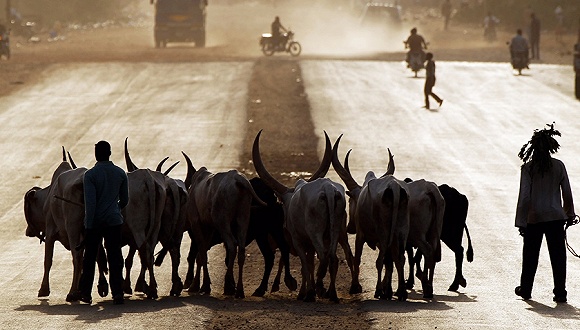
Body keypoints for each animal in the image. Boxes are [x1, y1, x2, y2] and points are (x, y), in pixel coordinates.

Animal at [23, 148, 109, 300]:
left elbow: (48, 261)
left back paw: (72, 292)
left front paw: (44, 289)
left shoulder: (50, 233)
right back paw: (95, 289)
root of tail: (83, 183)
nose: (28, 231)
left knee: (77, 257)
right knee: (96, 254)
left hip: (72, 227)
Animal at [182, 152, 266, 300]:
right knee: (241, 249)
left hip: (222, 220)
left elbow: (201, 254)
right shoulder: (209, 227)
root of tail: (239, 180)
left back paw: (229, 286)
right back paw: (239, 290)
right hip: (243, 217)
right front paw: (202, 285)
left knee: (232, 245)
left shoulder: (196, 222)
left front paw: (199, 286)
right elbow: (201, 255)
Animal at [250, 130, 354, 302]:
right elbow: (309, 264)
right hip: (335, 231)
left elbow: (305, 265)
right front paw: (306, 291)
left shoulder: (298, 240)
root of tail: (328, 189)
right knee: (333, 258)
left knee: (324, 256)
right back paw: (332, 294)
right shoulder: (308, 244)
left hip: (315, 232)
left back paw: (319, 287)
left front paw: (306, 293)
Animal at [334, 135, 410, 300]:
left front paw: (355, 286)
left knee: (381, 260)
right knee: (399, 258)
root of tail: (394, 188)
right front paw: (388, 289)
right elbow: (391, 262)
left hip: (383, 232)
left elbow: (357, 258)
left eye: (350, 200)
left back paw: (379, 290)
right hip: (401, 231)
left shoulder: (361, 234)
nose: (350, 228)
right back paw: (400, 291)